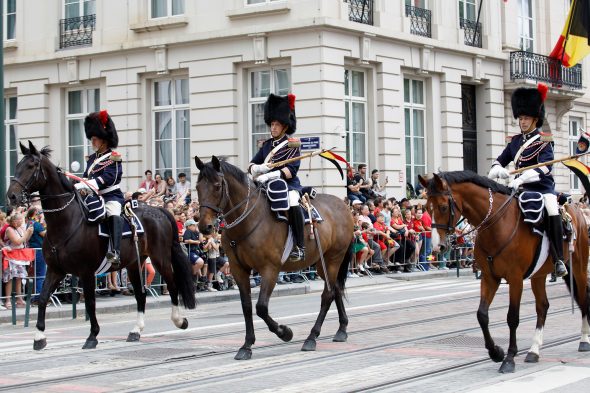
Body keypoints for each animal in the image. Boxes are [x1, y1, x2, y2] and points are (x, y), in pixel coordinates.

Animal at [6, 142, 197, 350]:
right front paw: (39, 337)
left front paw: (92, 336)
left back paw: (180, 320)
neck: (67, 222)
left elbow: (90, 303)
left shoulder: (86, 272)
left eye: (31, 166)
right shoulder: (55, 270)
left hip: (160, 258)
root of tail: (159, 210)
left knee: (172, 284)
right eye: (17, 165)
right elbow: (42, 298)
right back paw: (136, 330)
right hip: (134, 264)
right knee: (141, 294)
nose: (11, 196)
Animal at [194, 155, 354, 358]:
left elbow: (261, 307)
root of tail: (343, 205)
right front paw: (246, 345)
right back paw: (342, 329)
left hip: (333, 258)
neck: (248, 220)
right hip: (321, 262)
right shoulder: (239, 270)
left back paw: (311, 337)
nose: (204, 227)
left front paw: (285, 332)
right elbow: (247, 306)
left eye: (216, 186)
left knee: (328, 294)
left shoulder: (270, 269)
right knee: (336, 290)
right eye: (198, 187)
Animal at [420, 171, 590, 370]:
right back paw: (534, 350)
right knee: (543, 306)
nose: (437, 247)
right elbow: (482, 315)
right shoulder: (489, 277)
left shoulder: (515, 279)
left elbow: (512, 317)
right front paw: (496, 352)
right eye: (426, 208)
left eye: (443, 207)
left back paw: (584, 340)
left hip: (579, 266)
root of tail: (576, 209)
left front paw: (509, 358)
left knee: (583, 298)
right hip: (539, 274)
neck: (497, 223)